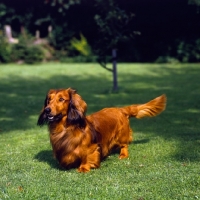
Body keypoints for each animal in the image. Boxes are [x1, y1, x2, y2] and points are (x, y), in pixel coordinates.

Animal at [37, 88, 166, 173]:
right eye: (49, 100)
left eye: (61, 99)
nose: (47, 110)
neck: (66, 127)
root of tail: (120, 109)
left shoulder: (91, 148)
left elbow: (86, 157)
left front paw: (84, 168)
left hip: (122, 136)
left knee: (125, 145)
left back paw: (123, 154)